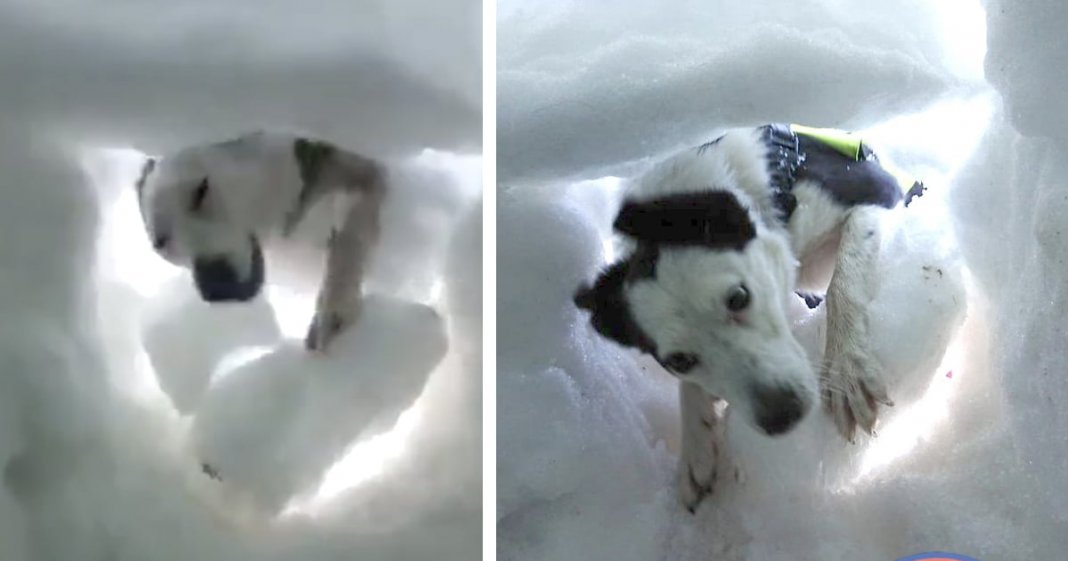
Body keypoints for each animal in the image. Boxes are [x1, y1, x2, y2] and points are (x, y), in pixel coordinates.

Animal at [576, 123, 927, 506]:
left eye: (738, 297)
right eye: (678, 360)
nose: (782, 416)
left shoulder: (876, 194)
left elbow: (843, 280)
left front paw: (846, 364)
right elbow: (691, 387)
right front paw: (695, 443)